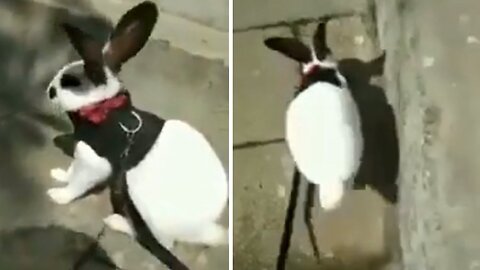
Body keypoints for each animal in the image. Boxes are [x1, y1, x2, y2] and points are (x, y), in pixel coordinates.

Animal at [45, 0, 229, 262]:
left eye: (69, 82)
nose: (49, 91)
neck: (103, 110)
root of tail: (200, 230)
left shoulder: (95, 163)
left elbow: (77, 185)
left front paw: (58, 196)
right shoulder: (84, 153)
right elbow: (71, 171)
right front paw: (59, 174)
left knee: (161, 241)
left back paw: (117, 222)